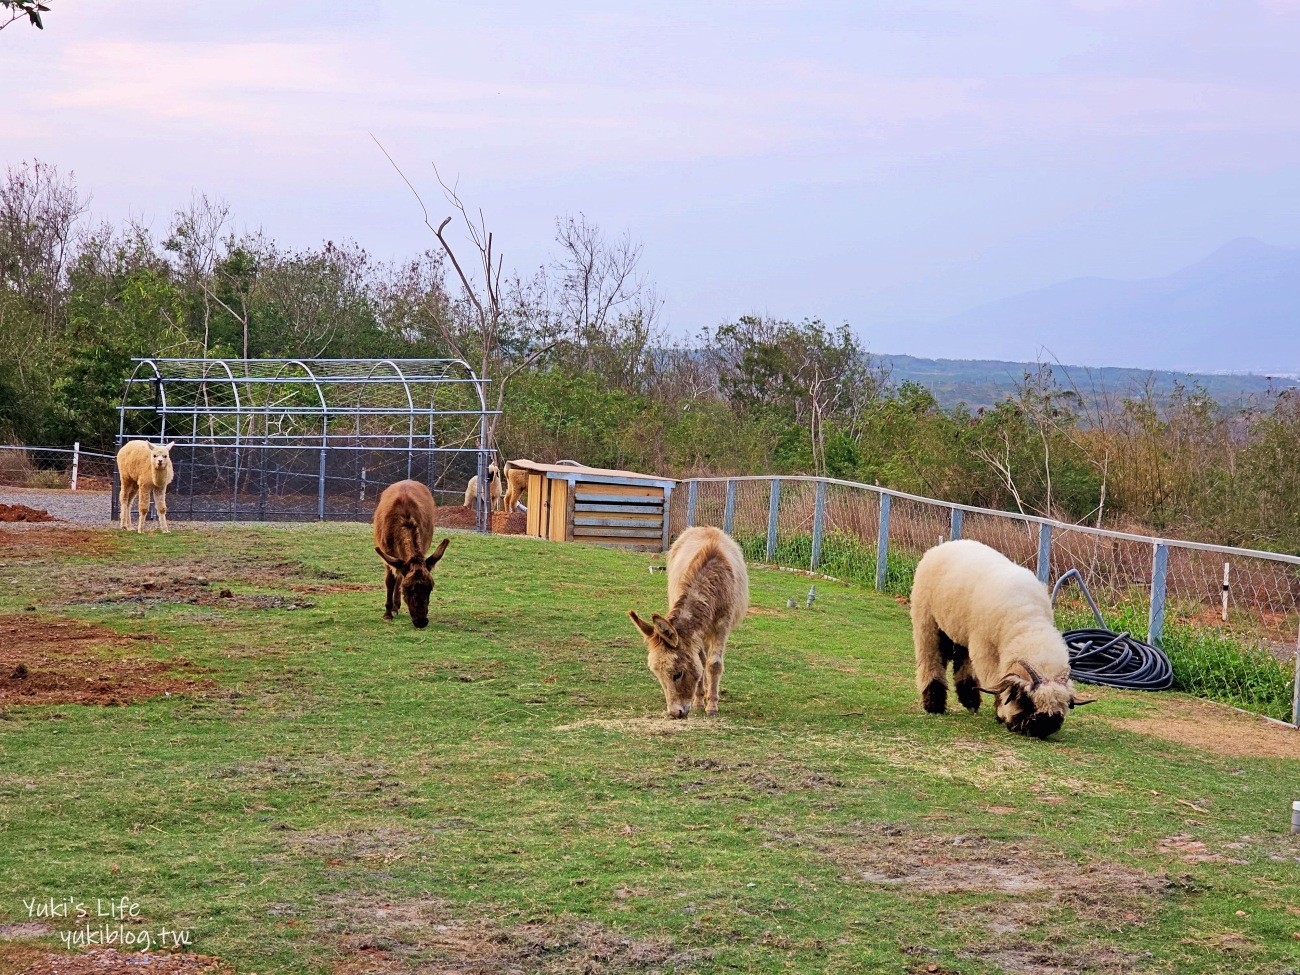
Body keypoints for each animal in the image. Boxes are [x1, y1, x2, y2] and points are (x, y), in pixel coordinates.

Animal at [909, 538, 1092, 738]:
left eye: (1064, 704)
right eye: (1024, 699)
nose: (1043, 726)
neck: (1025, 622)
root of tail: (946, 544)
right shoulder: (984, 649)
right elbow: (995, 680)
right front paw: (1000, 713)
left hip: (960, 631)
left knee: (961, 660)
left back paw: (970, 702)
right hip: (927, 621)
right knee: (930, 660)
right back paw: (934, 704)